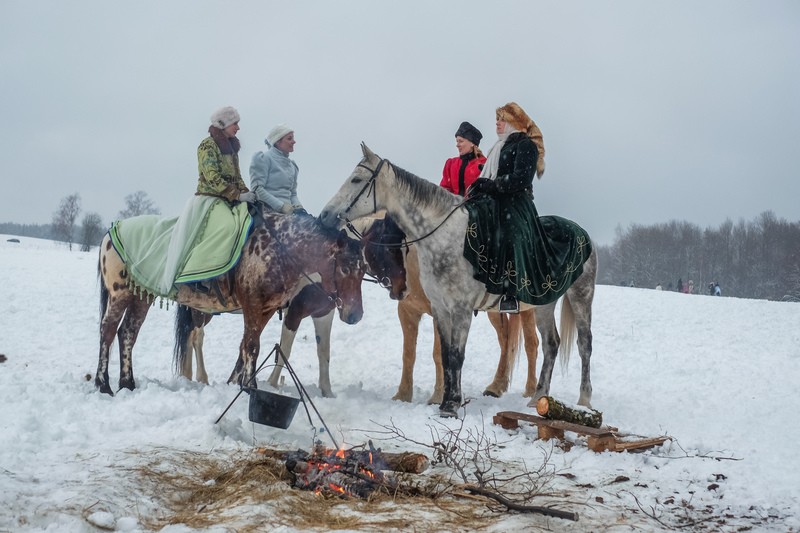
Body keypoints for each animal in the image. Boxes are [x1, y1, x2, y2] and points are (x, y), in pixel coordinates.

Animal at [95, 213, 368, 394]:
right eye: (344, 268)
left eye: (363, 268)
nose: (355, 314)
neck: (279, 250)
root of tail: (111, 232)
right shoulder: (260, 307)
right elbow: (254, 347)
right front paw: (251, 386)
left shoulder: (269, 310)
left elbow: (249, 346)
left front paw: (241, 382)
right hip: (121, 294)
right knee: (108, 330)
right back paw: (103, 384)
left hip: (142, 296)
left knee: (128, 333)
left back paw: (127, 383)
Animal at [173, 214, 410, 396]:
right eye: (389, 249)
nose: (403, 290)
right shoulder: (293, 313)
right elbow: (284, 349)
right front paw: (271, 383)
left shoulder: (323, 314)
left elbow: (324, 351)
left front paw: (327, 391)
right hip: (202, 309)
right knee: (196, 337)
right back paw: (200, 377)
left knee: (189, 336)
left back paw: (188, 376)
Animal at [322, 143, 596, 418]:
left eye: (356, 179)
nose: (326, 214)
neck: (443, 237)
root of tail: (583, 232)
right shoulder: (439, 308)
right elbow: (441, 354)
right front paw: (437, 400)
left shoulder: (460, 308)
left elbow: (456, 354)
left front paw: (450, 404)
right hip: (544, 304)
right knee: (551, 343)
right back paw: (537, 398)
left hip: (579, 296)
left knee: (578, 344)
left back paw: (581, 400)